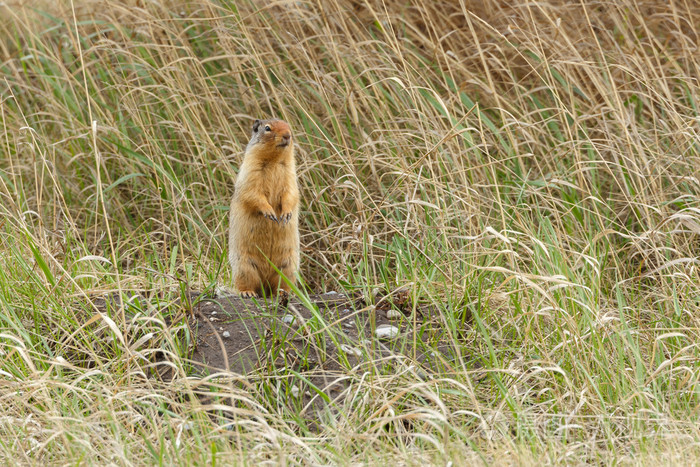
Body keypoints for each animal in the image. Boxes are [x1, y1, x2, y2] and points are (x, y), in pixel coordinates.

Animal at [227, 119, 298, 298]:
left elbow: (290, 194)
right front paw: (270, 213)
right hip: (244, 266)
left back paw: (284, 293)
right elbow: (254, 194)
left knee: (281, 284)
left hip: (288, 267)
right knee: (247, 283)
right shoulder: (250, 173)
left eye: (289, 126)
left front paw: (286, 214)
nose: (287, 135)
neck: (274, 161)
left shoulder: (290, 175)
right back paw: (248, 293)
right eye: (267, 128)